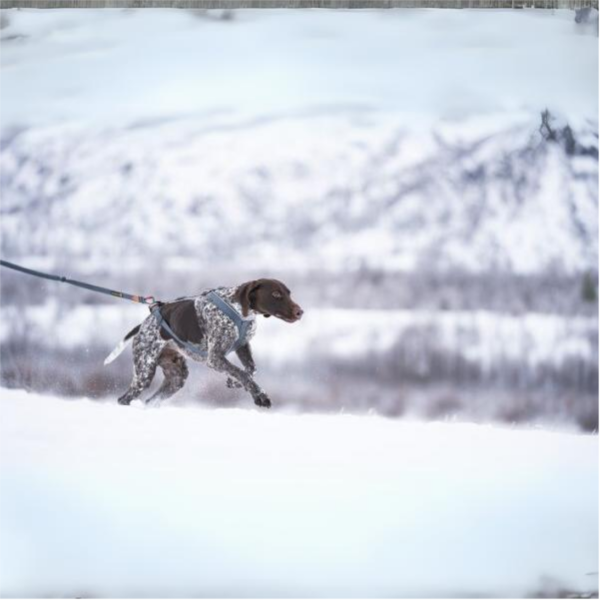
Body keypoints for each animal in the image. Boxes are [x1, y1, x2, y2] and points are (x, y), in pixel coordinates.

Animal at [105, 280, 302, 408]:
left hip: (176, 378)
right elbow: (242, 373)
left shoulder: (242, 346)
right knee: (124, 399)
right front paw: (260, 396)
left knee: (151, 400)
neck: (240, 311)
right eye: (276, 294)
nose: (300, 312)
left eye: (289, 293)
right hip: (144, 372)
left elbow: (250, 370)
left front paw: (234, 382)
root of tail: (143, 325)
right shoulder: (215, 358)